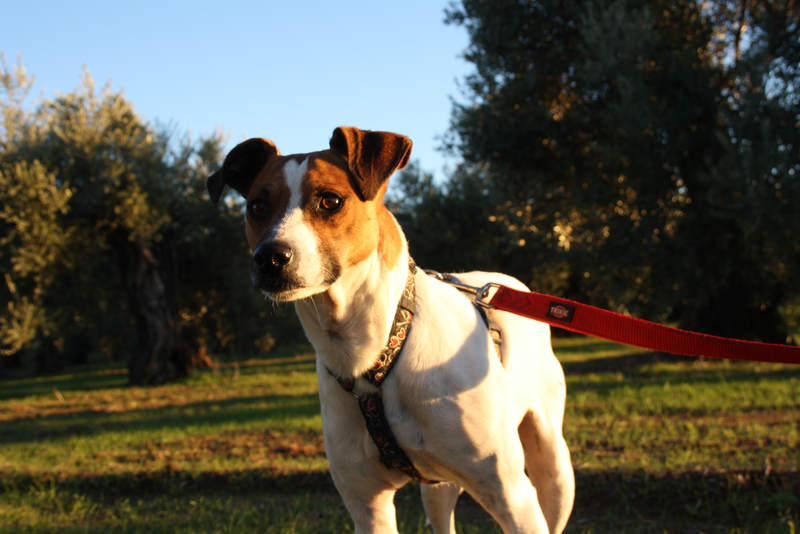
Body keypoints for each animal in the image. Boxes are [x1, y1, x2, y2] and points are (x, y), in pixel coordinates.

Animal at [207, 126, 574, 534]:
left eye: (330, 200)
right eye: (257, 207)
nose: (270, 257)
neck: (376, 352)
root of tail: (508, 283)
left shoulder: (510, 495)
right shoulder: (368, 506)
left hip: (553, 467)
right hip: (439, 485)